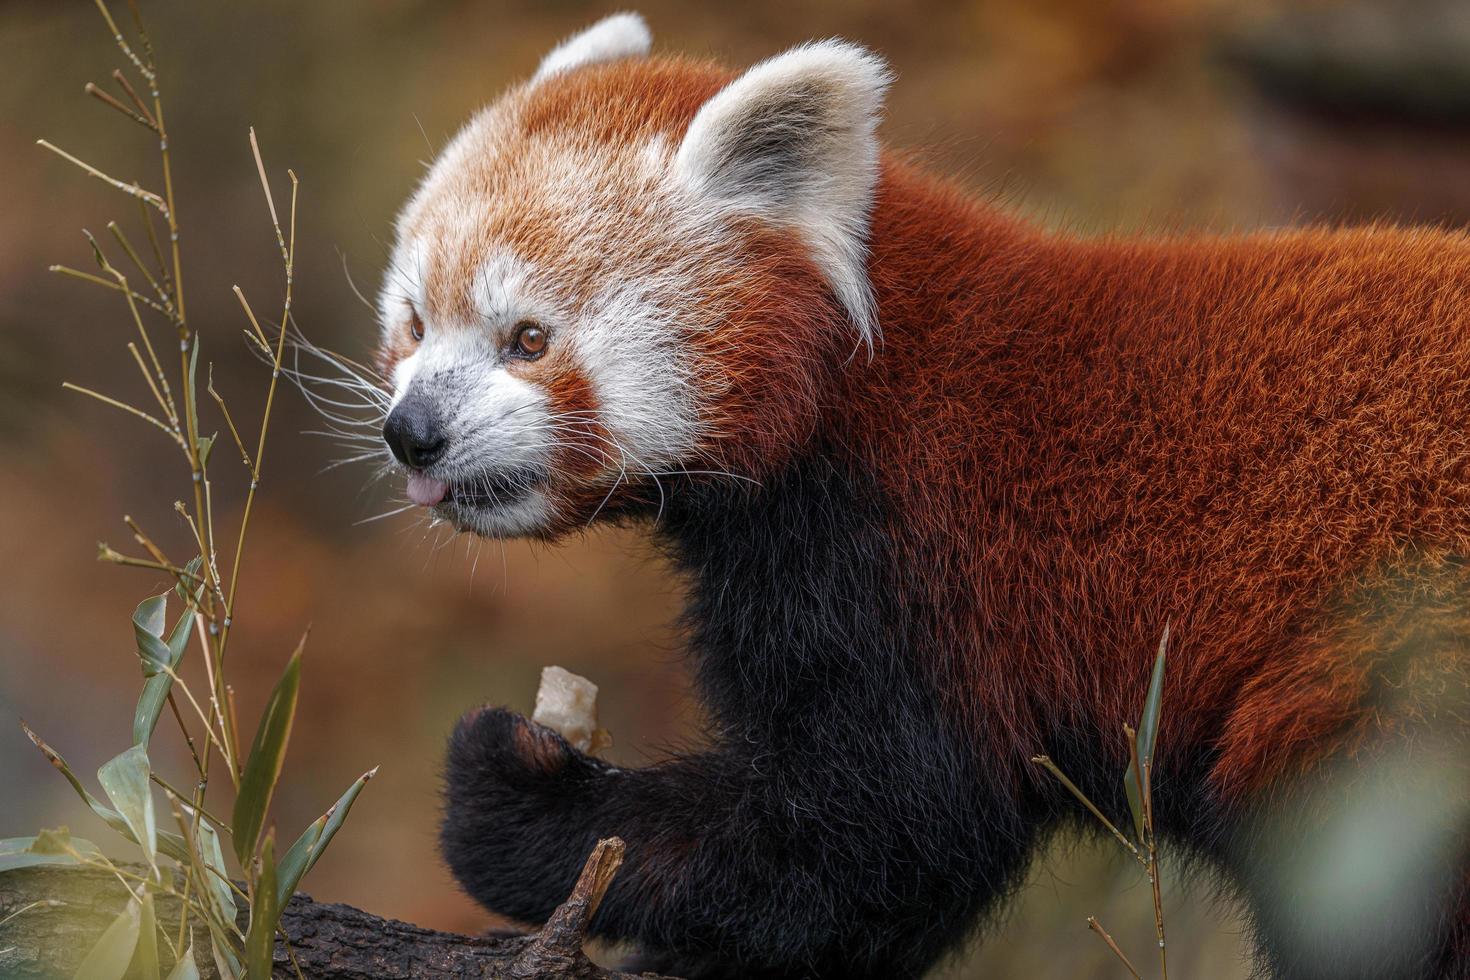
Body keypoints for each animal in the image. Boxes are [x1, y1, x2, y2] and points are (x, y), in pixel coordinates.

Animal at [370, 15, 1470, 980]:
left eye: (528, 339)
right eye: (415, 324)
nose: (411, 431)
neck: (847, 385)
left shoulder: (921, 558)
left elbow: (880, 835)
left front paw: (514, 794)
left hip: (1388, 667)